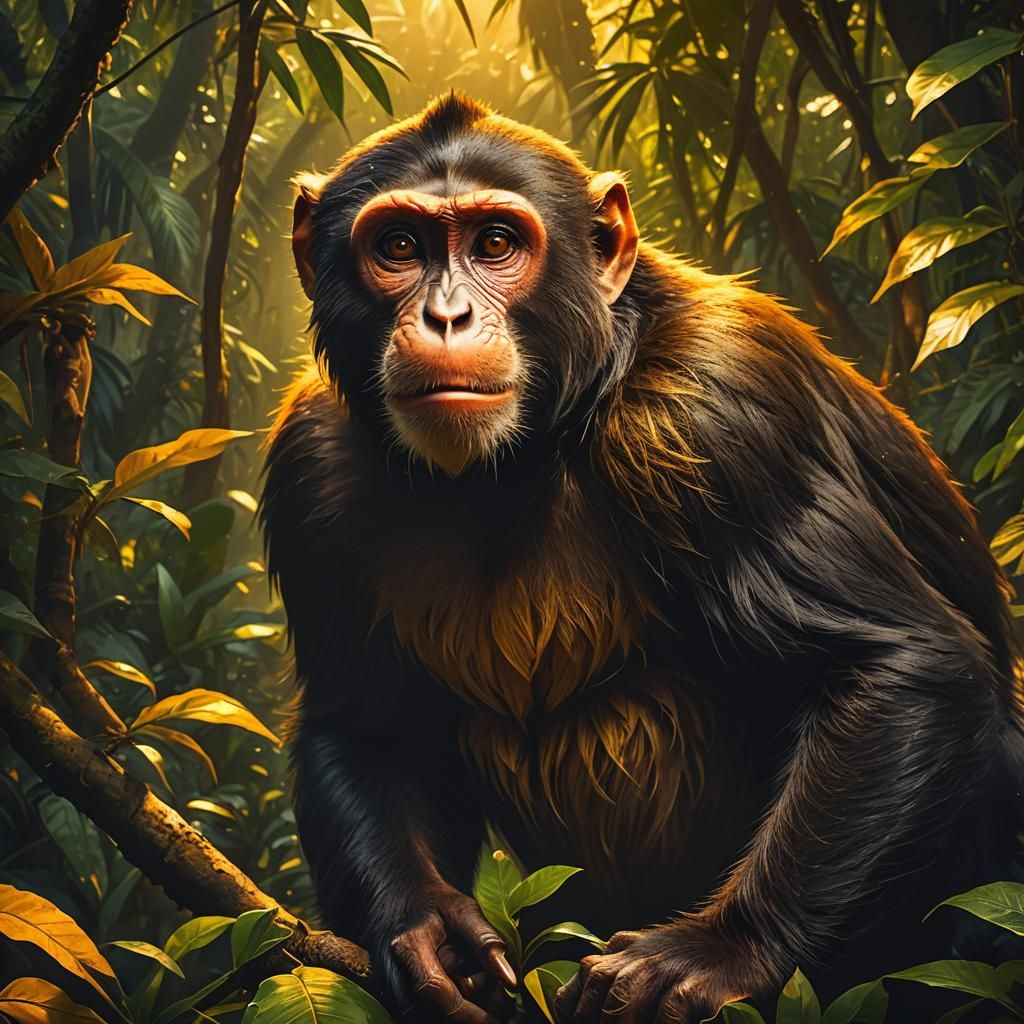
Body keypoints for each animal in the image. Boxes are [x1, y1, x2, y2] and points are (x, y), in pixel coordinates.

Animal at [261, 93, 1024, 1023]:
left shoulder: (720, 413)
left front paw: (720, 953)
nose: (446, 316)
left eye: (495, 243)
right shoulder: (311, 467)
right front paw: (428, 927)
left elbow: (896, 662)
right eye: (399, 248)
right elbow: (364, 727)